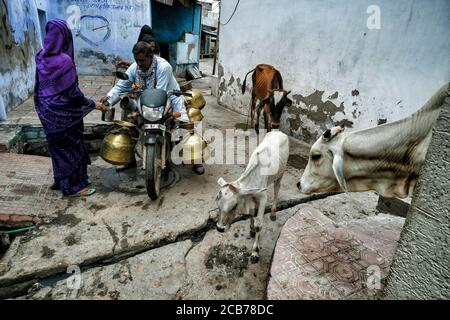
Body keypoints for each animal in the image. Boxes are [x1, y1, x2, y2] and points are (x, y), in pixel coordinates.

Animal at [216, 130, 290, 262]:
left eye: (234, 206)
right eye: (218, 204)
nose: (220, 228)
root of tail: (279, 131)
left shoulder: (263, 198)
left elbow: (259, 225)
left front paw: (255, 251)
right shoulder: (249, 196)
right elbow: (251, 213)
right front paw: (251, 230)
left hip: (281, 173)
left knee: (277, 189)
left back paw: (273, 213)